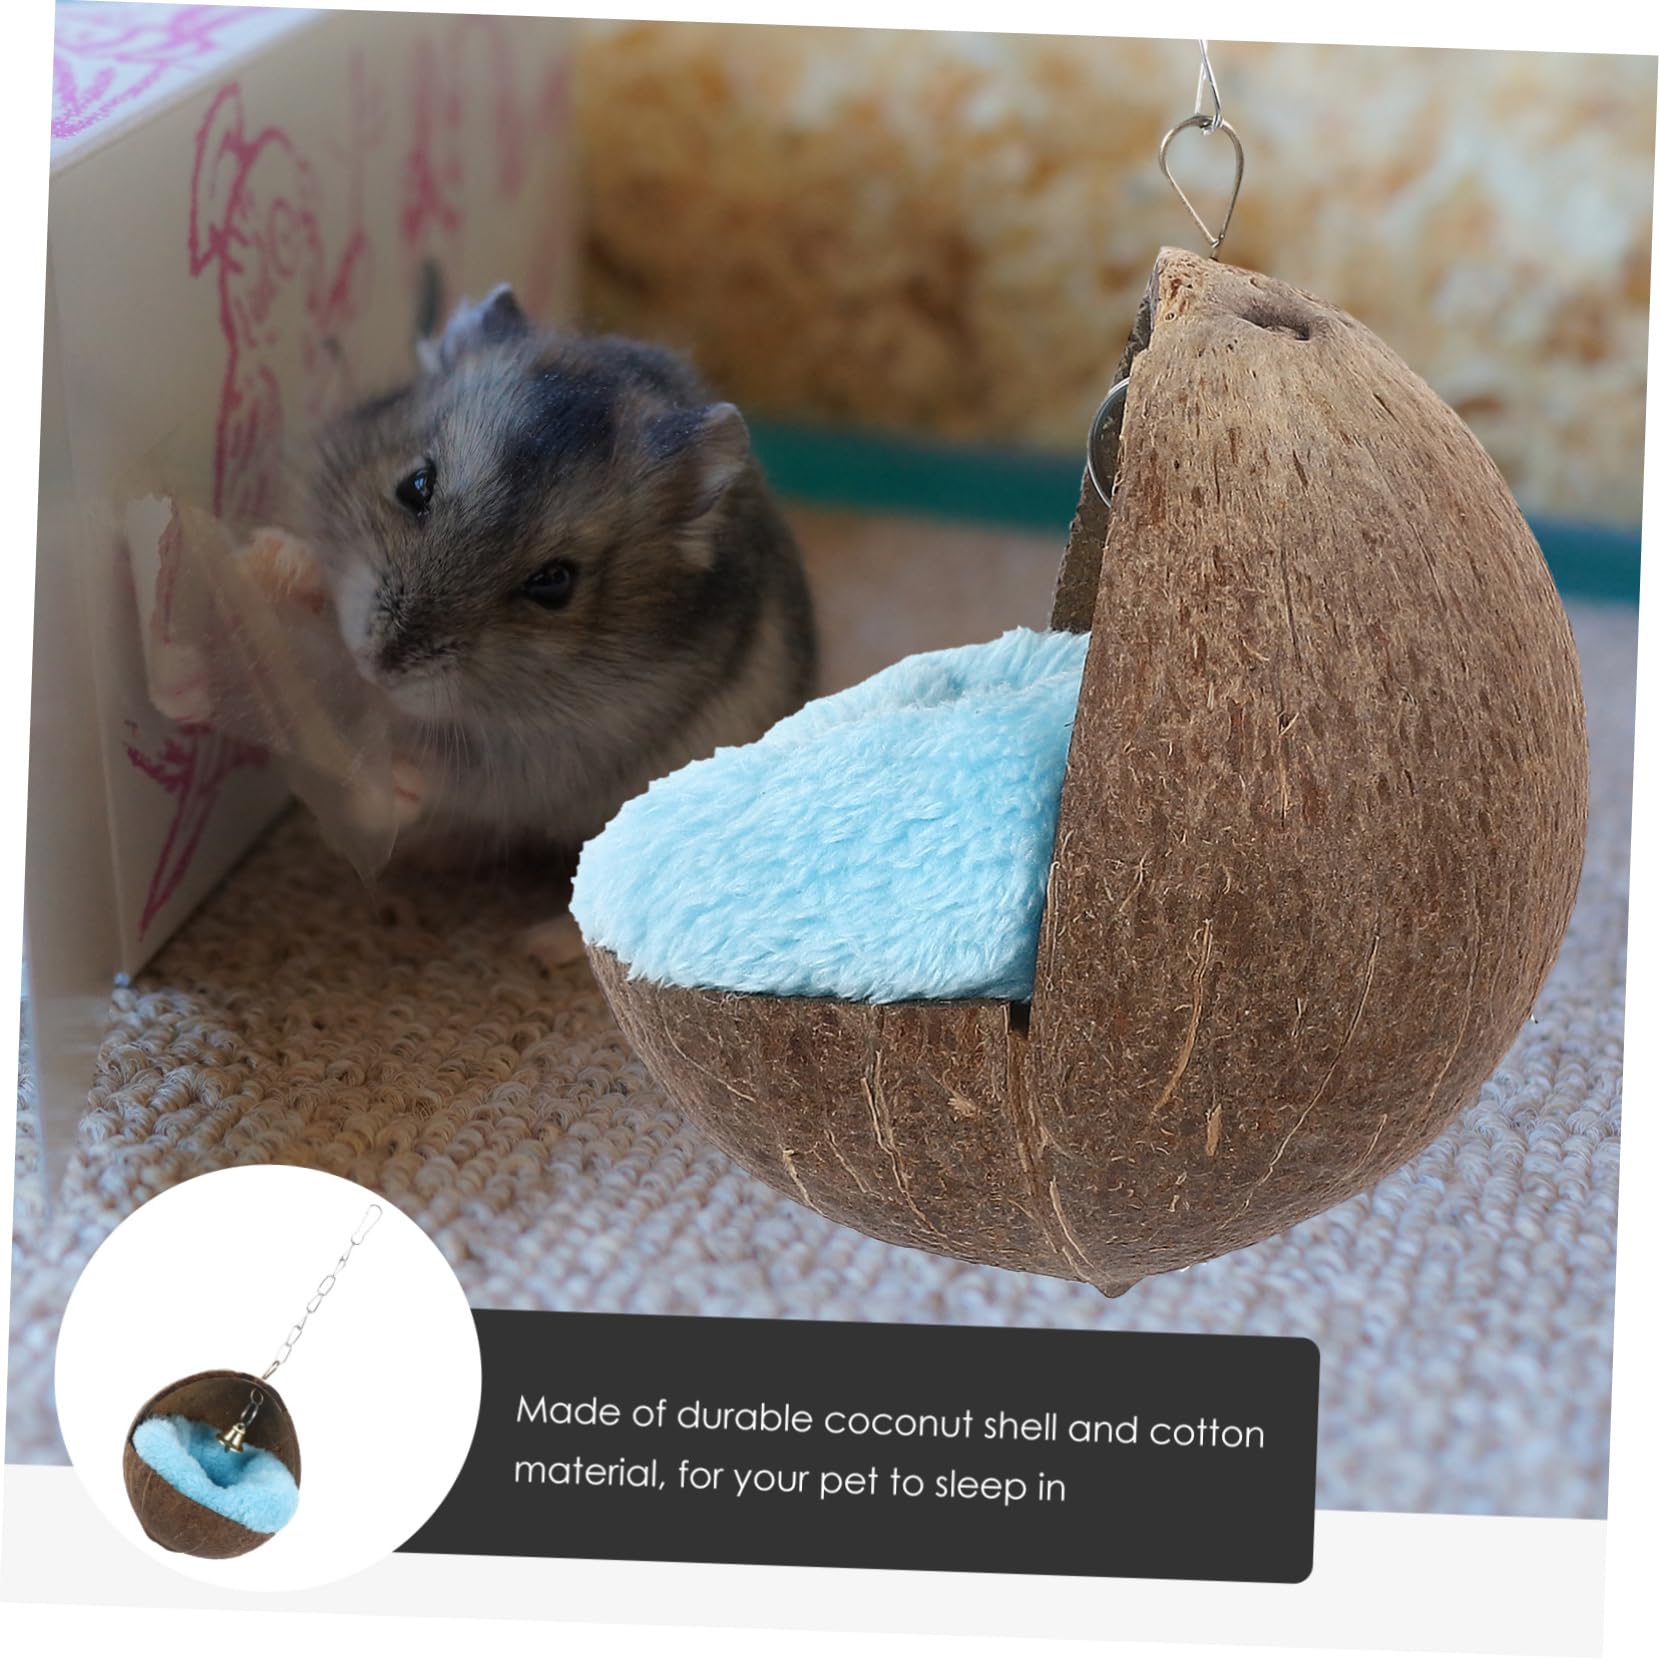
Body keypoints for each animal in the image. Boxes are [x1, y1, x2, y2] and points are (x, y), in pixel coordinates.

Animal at [301, 283, 819, 922]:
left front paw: (392, 776)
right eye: (415, 485)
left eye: (554, 583)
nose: (376, 666)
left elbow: (464, 775)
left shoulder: (558, 756)